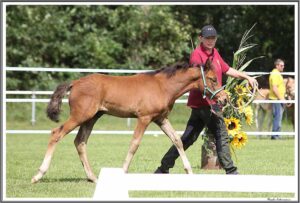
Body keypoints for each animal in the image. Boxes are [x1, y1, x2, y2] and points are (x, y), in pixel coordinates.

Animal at [31, 58, 226, 183]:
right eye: (212, 79)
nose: (224, 99)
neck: (162, 86)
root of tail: (75, 83)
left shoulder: (161, 119)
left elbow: (177, 140)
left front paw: (190, 172)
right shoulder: (144, 118)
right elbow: (134, 143)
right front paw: (123, 171)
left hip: (91, 118)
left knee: (80, 142)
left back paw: (92, 177)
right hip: (80, 116)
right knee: (56, 134)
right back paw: (38, 175)